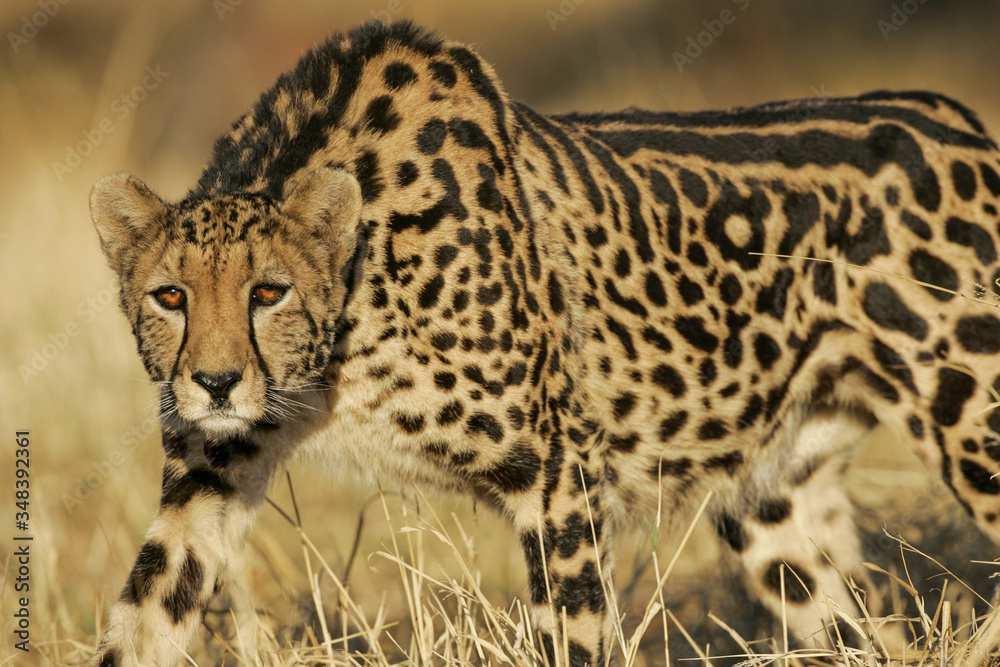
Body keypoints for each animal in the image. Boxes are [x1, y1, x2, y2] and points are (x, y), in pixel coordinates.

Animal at [88, 20, 1000, 667]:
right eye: (170, 296)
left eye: (268, 292)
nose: (214, 383)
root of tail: (958, 118)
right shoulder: (208, 480)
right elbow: (142, 617)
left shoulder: (560, 473)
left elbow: (575, 635)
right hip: (773, 507)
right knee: (870, 637)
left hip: (975, 430)